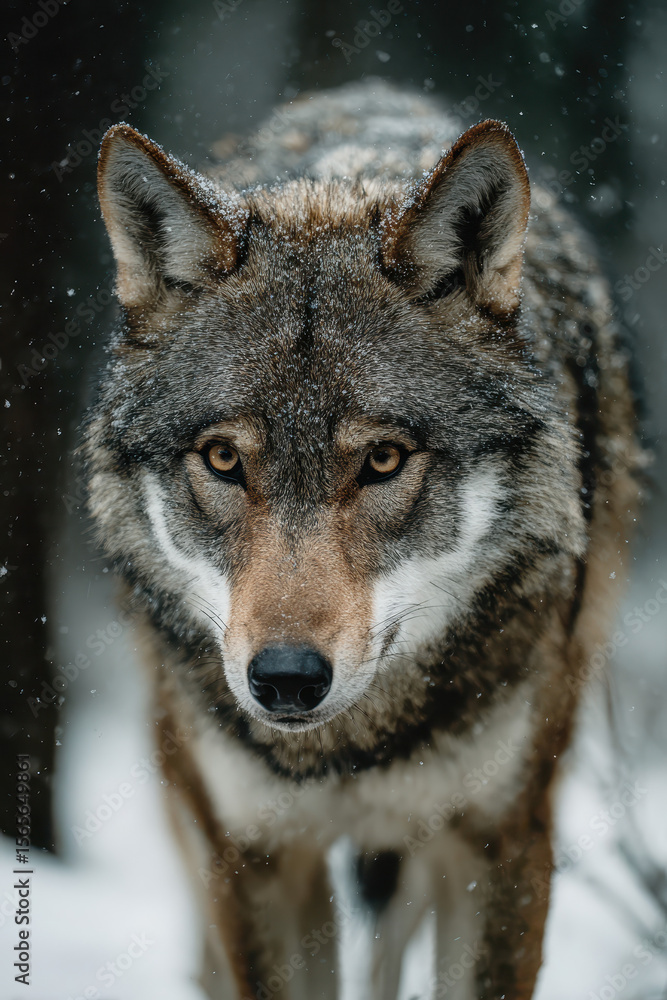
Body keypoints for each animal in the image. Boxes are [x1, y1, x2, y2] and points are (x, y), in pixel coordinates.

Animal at [83, 80, 643, 999]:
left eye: (382, 459)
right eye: (223, 458)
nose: (284, 679)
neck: (350, 750)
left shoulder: (500, 841)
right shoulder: (255, 858)